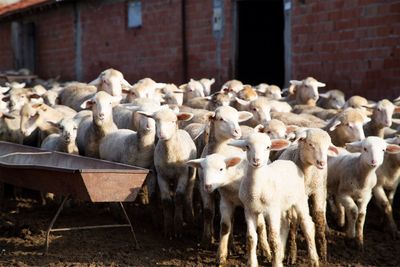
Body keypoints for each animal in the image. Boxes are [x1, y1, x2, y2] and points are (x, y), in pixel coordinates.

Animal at [138, 108, 197, 239]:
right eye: (156, 121)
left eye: (173, 121)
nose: (162, 135)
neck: (170, 154)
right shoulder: (161, 176)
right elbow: (166, 201)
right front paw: (169, 229)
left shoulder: (183, 175)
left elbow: (179, 197)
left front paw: (178, 228)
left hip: (191, 174)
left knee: (188, 195)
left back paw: (190, 219)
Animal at [228, 133, 318, 267]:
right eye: (247, 146)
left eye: (268, 147)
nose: (256, 160)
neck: (257, 190)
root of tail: (288, 162)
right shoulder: (249, 210)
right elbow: (251, 238)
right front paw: (253, 263)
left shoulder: (272, 210)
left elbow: (273, 239)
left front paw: (276, 263)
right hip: (282, 206)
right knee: (285, 224)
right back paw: (281, 255)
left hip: (300, 199)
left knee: (307, 225)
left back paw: (314, 259)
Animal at [280, 129, 340, 262]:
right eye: (311, 144)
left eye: (327, 146)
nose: (322, 163)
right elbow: (293, 223)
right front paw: (292, 254)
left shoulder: (318, 191)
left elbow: (319, 218)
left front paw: (323, 253)